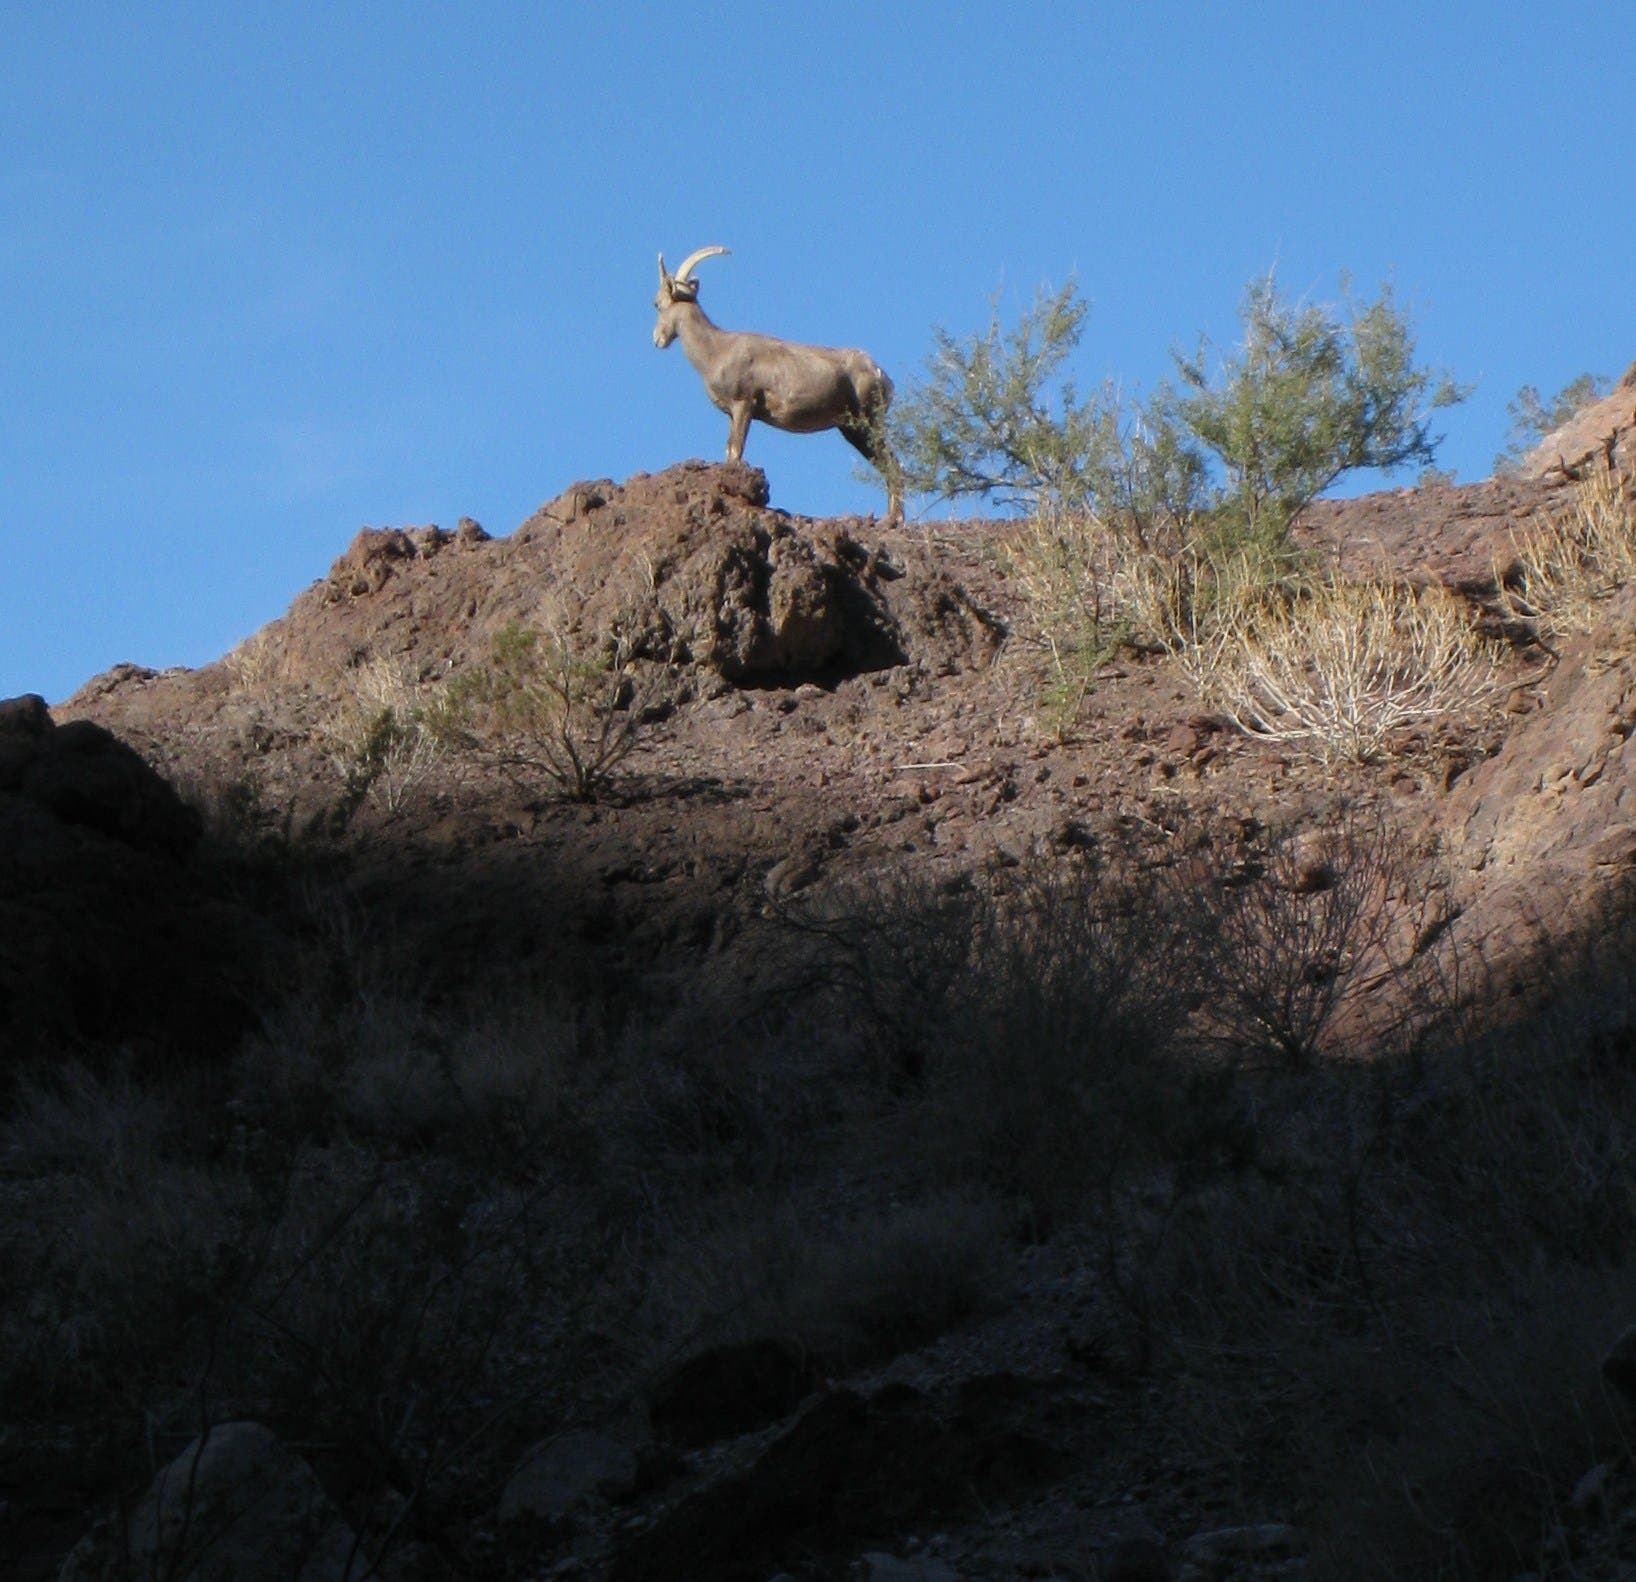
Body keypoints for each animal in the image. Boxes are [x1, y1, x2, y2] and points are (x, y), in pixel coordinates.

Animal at [652, 247, 903, 524]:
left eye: (656, 304)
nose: (657, 340)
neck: (715, 350)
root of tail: (879, 373)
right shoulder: (732, 414)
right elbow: (729, 450)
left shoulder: (743, 406)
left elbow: (736, 450)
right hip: (852, 430)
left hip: (867, 424)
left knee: (893, 464)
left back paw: (894, 519)